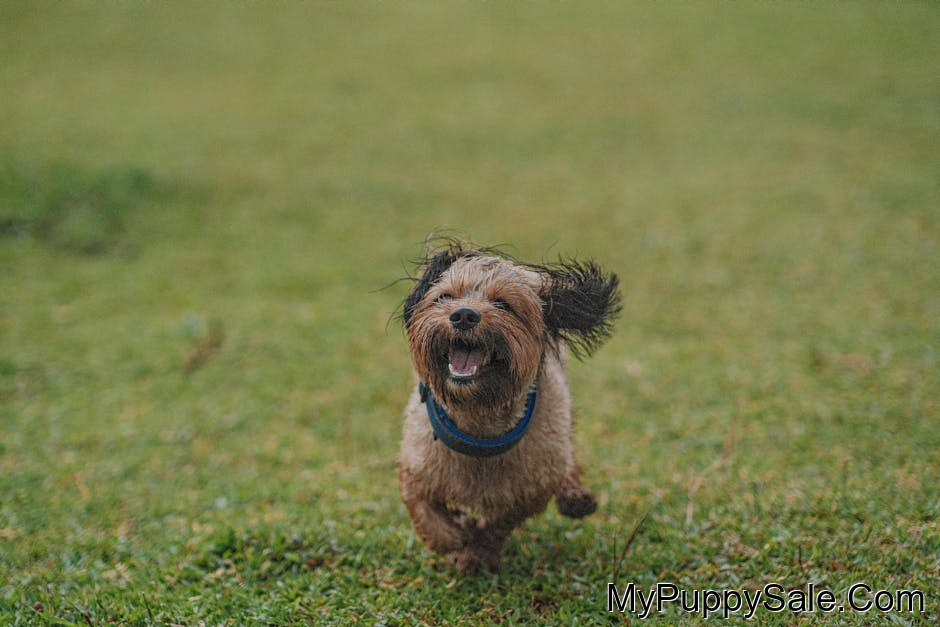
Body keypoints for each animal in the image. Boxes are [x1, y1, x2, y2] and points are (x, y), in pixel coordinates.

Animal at [398, 242, 620, 573]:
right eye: (445, 297)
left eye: (504, 304)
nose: (463, 315)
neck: (478, 420)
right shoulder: (416, 468)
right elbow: (429, 518)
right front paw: (458, 533)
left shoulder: (532, 485)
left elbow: (498, 523)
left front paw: (476, 552)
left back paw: (575, 497)